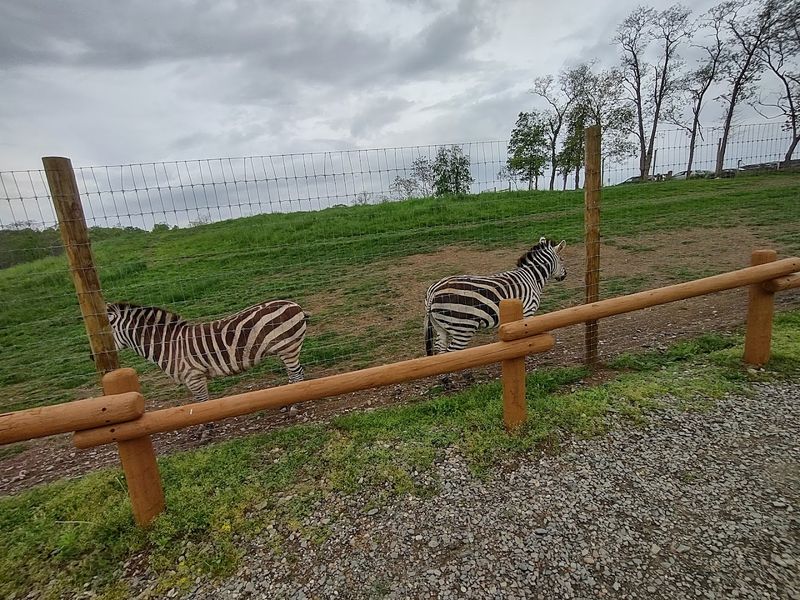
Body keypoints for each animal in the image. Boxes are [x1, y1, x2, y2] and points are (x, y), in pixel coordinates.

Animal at [104, 300, 307, 404]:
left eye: (106, 331)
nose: (96, 357)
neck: (169, 344)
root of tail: (294, 304)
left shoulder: (194, 377)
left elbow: (202, 404)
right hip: (288, 349)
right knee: (295, 374)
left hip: (288, 347)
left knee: (297, 374)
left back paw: (295, 405)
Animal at [424, 237, 567, 356]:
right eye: (562, 260)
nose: (565, 275)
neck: (531, 277)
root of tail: (433, 291)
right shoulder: (528, 311)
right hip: (463, 327)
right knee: (452, 353)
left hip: (440, 326)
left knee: (440, 352)